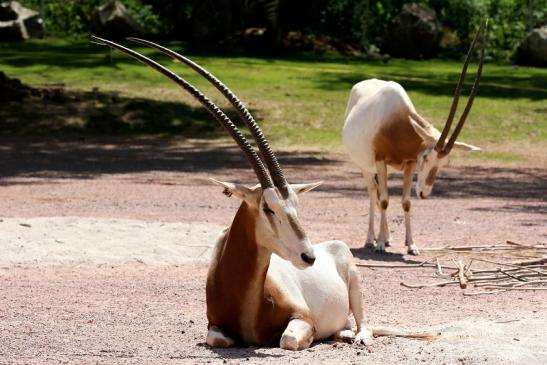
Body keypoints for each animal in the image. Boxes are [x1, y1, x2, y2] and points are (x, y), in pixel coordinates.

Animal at [342, 19, 488, 253]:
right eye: (427, 157)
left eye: (445, 163)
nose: (424, 193)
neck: (397, 123)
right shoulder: (381, 160)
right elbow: (384, 200)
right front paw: (380, 244)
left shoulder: (409, 163)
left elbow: (405, 202)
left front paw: (411, 244)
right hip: (366, 166)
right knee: (374, 193)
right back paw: (371, 239)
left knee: (380, 193)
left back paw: (387, 237)